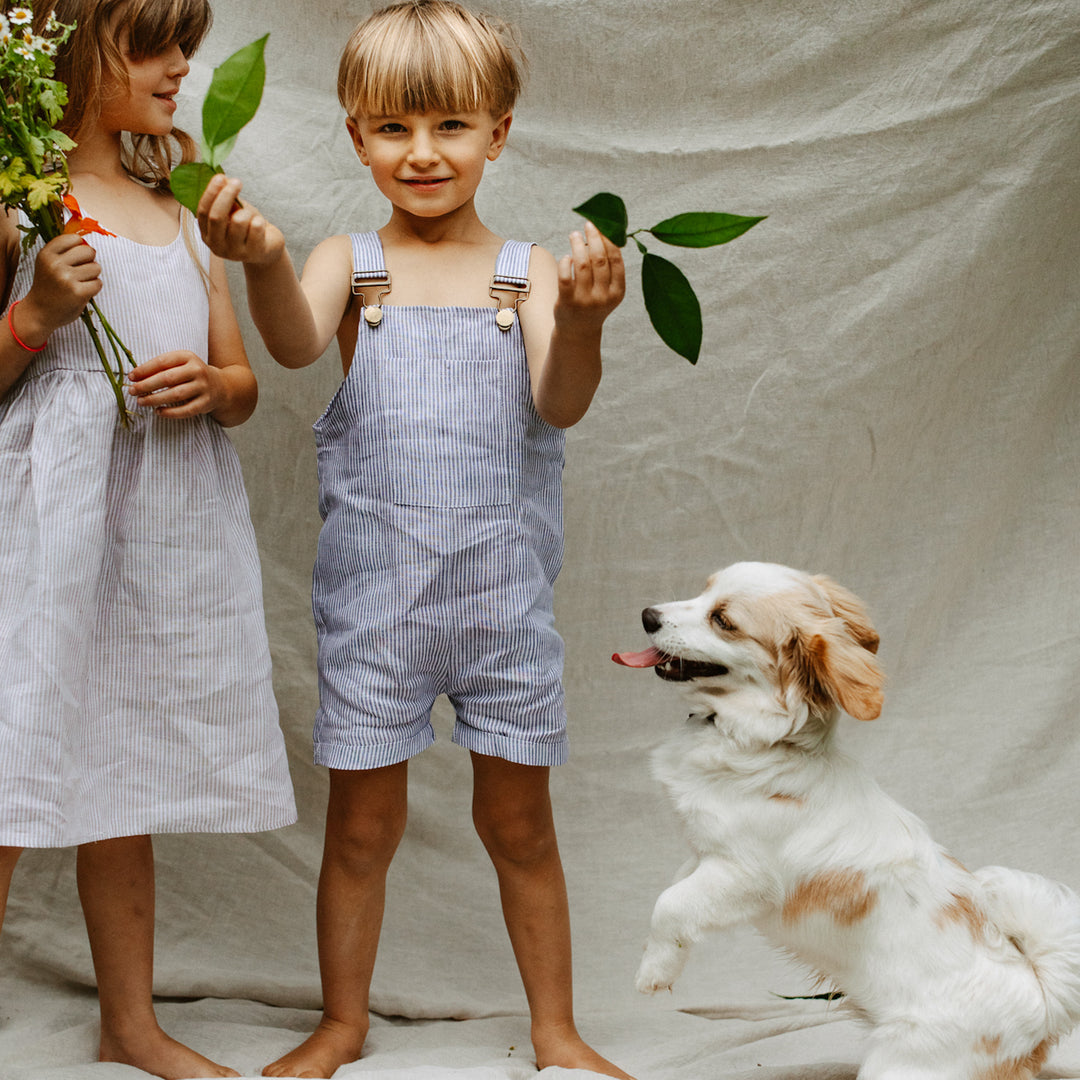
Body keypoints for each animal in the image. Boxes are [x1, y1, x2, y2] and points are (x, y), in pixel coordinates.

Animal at [617, 561, 1080, 1080]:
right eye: (703, 591)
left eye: (723, 621)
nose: (648, 615)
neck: (751, 741)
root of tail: (1040, 1006)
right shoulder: (704, 854)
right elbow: (674, 892)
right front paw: (661, 957)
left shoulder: (742, 876)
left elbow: (671, 903)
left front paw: (652, 973)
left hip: (903, 1064)